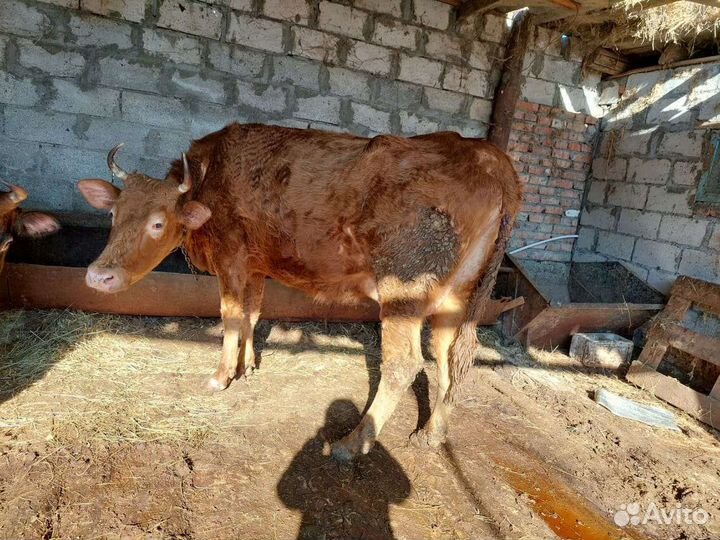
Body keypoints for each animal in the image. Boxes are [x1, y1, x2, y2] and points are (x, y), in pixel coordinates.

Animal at [77, 124, 522, 460]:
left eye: (157, 223)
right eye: (113, 214)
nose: (98, 277)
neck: (211, 177)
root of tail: (488, 156)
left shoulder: (231, 258)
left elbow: (230, 316)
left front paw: (222, 376)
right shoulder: (255, 266)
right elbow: (253, 313)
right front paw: (248, 365)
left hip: (405, 287)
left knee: (404, 364)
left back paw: (351, 443)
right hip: (457, 296)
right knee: (452, 357)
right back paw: (432, 433)